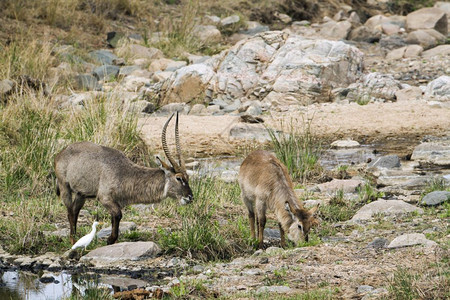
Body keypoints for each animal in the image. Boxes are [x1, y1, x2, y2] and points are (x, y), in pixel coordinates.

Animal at [54, 111, 192, 245]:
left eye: (187, 177)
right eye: (179, 178)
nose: (190, 197)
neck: (124, 172)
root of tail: (62, 152)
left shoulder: (116, 202)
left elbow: (115, 218)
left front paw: (113, 241)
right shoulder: (105, 198)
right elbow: (118, 215)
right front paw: (110, 240)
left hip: (81, 194)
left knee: (75, 211)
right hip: (65, 187)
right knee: (70, 212)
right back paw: (73, 241)